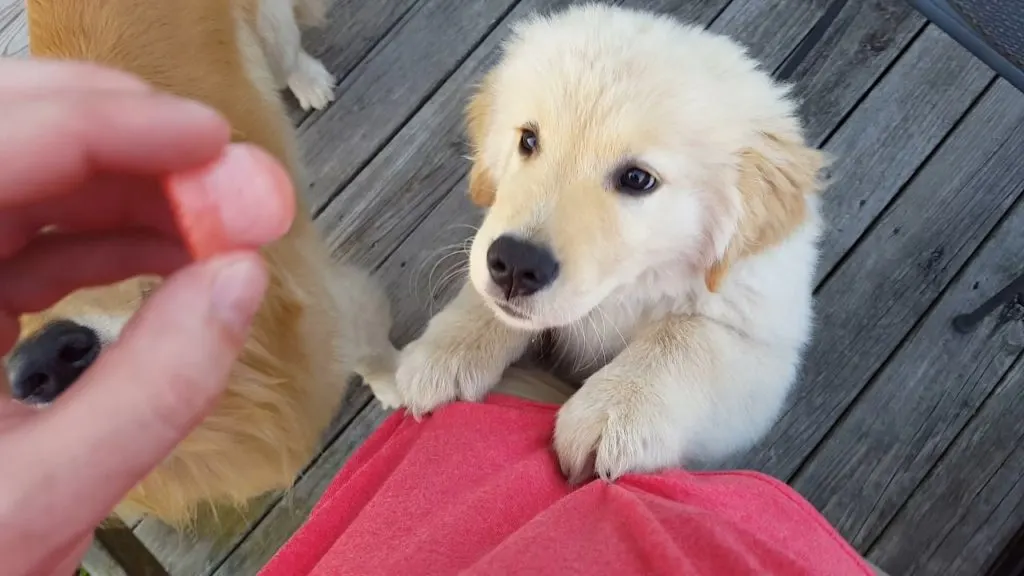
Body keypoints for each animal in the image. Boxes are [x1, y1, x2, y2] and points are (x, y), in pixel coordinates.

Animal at [387, 4, 827, 479]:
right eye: (528, 140)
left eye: (637, 179)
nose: (516, 265)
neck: (629, 290)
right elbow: (486, 295)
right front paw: (447, 352)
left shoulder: (763, 343)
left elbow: (687, 337)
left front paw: (614, 411)